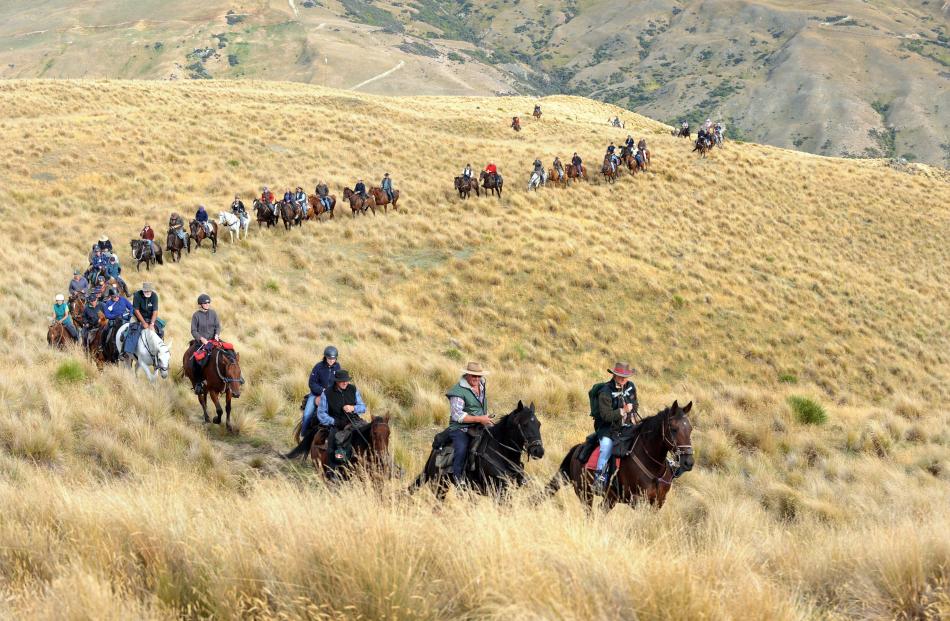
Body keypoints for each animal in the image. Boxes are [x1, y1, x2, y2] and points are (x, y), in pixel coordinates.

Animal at [408, 402, 544, 498]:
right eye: (525, 424)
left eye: (539, 424)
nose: (539, 451)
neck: (501, 452)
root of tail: (434, 451)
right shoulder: (498, 491)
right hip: (440, 485)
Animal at [548, 400, 696, 512]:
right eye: (674, 429)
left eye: (690, 429)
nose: (688, 462)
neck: (653, 467)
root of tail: (577, 449)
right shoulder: (637, 500)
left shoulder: (658, 502)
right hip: (585, 493)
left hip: (610, 499)